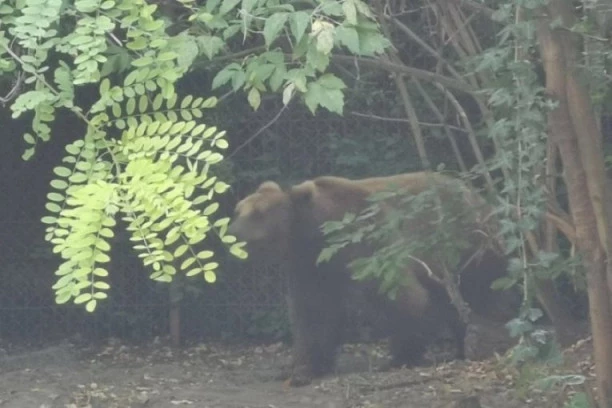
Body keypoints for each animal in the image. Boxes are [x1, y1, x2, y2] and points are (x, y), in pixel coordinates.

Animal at [228, 171, 516, 386]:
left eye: (258, 214)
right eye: (238, 210)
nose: (232, 233)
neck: (317, 235)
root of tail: (478, 196)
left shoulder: (370, 245)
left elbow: (402, 297)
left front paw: (399, 356)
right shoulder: (311, 268)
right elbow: (313, 314)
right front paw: (301, 368)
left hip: (468, 245)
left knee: (484, 289)